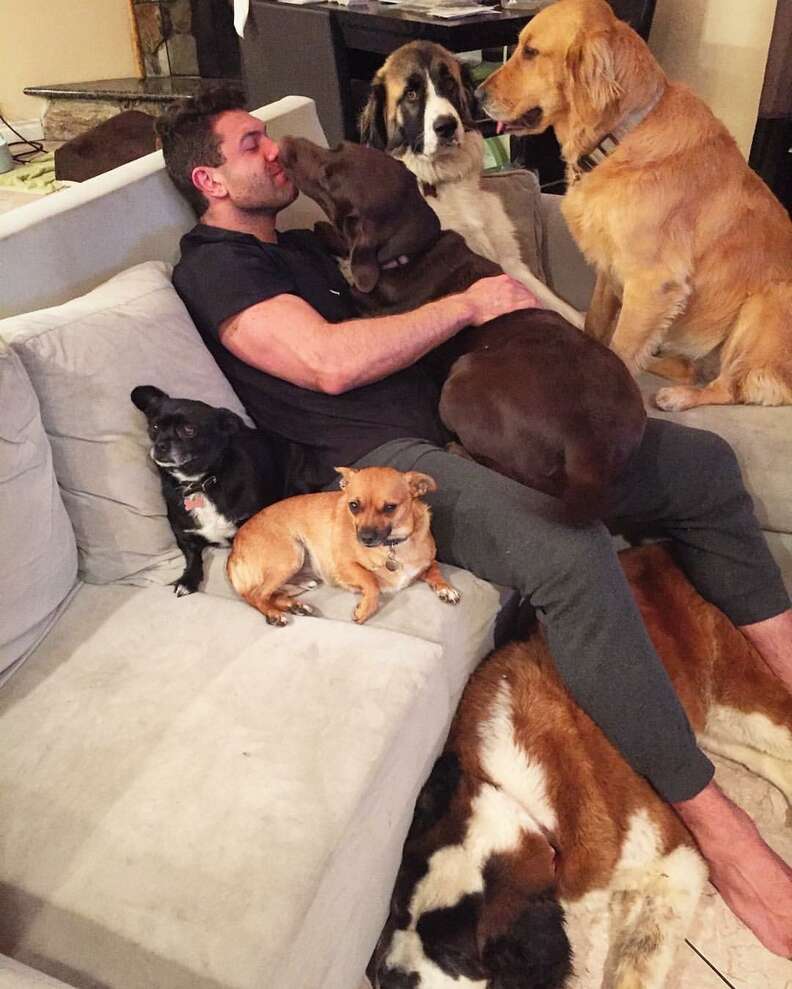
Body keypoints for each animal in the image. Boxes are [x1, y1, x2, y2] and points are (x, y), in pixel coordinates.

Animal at [358, 41, 580, 328]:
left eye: (449, 84)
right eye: (411, 94)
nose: (446, 126)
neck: (444, 181)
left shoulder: (513, 265)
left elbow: (567, 311)